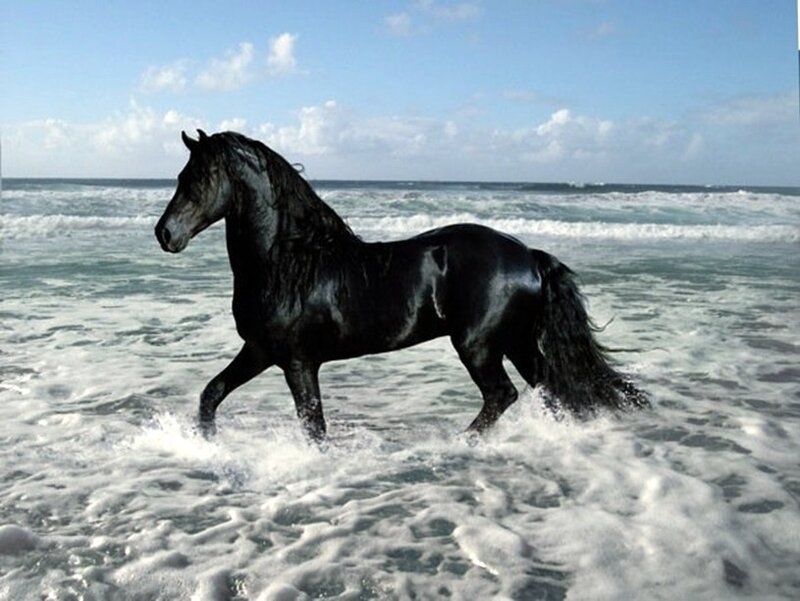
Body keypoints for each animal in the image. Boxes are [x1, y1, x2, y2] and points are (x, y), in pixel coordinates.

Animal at [155, 130, 647, 442]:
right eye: (180, 178)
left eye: (199, 179)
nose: (165, 234)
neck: (288, 262)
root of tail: (529, 256)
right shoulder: (259, 351)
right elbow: (211, 395)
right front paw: (206, 443)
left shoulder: (298, 362)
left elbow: (313, 426)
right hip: (517, 341)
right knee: (550, 387)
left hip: (479, 344)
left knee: (503, 395)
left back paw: (461, 442)